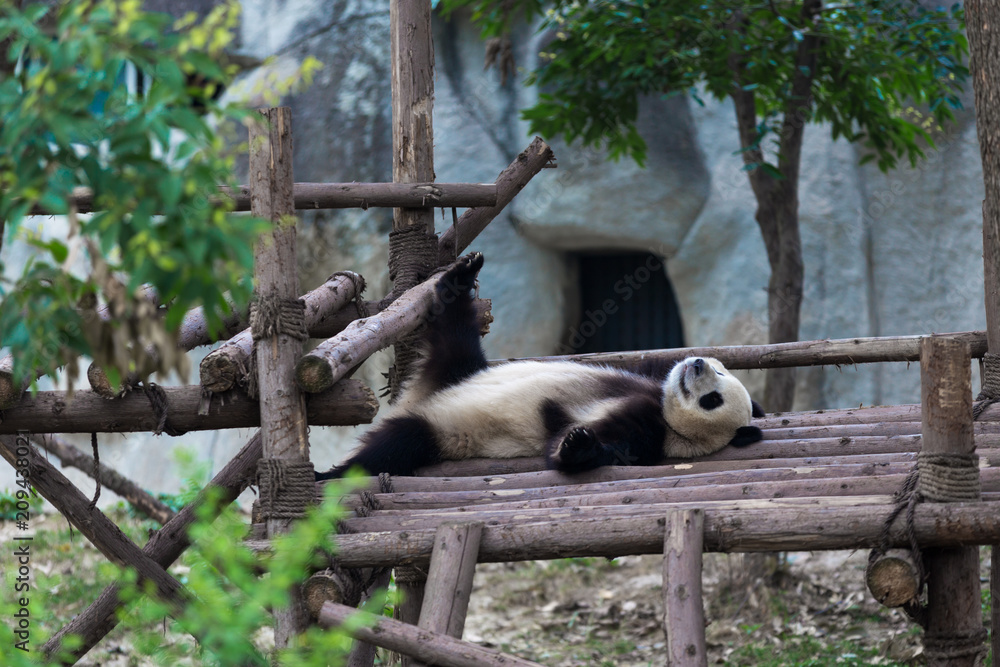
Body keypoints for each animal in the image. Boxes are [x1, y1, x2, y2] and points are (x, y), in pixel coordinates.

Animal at [316, 252, 764, 480]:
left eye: (712, 399)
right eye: (722, 372)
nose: (698, 363)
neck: (663, 406)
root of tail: (418, 398)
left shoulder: (650, 433)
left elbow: (583, 450)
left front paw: (578, 445)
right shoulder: (648, 378)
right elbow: (647, 362)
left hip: (442, 429)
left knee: (395, 446)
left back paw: (330, 475)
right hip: (459, 366)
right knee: (456, 330)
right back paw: (462, 275)